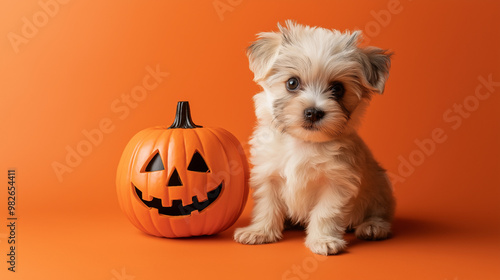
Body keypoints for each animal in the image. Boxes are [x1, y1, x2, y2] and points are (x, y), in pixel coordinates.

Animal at [233, 20, 394, 255]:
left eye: (338, 89)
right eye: (292, 83)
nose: (313, 112)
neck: (303, 142)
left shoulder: (336, 182)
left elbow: (325, 212)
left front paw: (322, 240)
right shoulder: (268, 175)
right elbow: (267, 205)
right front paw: (260, 231)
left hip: (379, 189)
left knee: (380, 213)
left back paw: (373, 226)